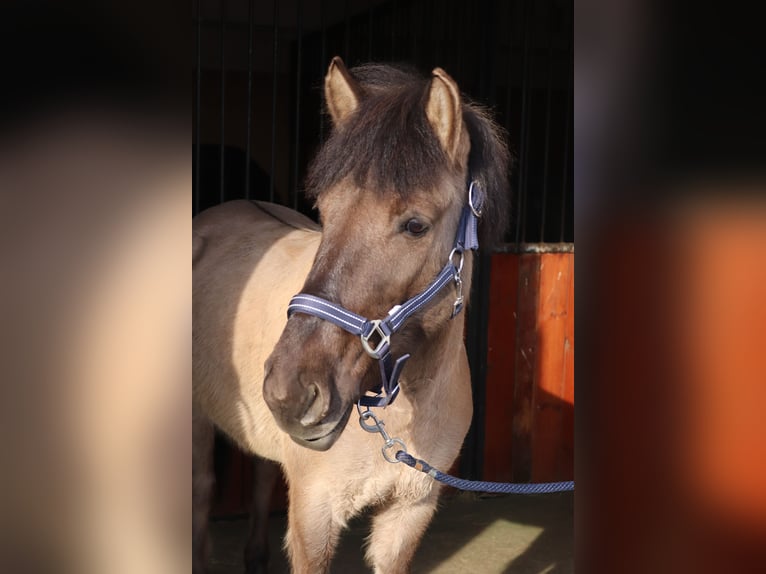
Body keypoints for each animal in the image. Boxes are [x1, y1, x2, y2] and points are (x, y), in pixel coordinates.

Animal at [192, 55, 510, 574]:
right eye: (324, 212)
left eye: (415, 225)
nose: (291, 392)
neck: (400, 415)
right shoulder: (314, 517)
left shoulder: (409, 513)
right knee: (202, 491)